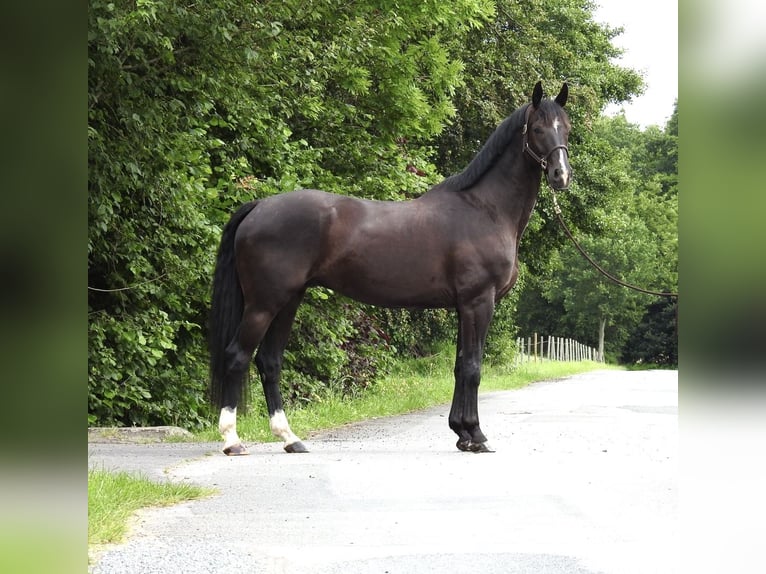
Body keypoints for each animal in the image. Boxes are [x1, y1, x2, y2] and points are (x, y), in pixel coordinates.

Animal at [209, 81, 571, 455]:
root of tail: (259, 207)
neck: (484, 209)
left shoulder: (463, 307)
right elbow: (472, 367)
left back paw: (290, 438)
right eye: (538, 128)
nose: (561, 175)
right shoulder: (478, 302)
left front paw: (461, 432)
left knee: (269, 362)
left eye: (567, 128)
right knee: (236, 357)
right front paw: (476, 436)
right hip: (264, 304)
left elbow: (459, 366)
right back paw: (233, 440)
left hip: (288, 300)